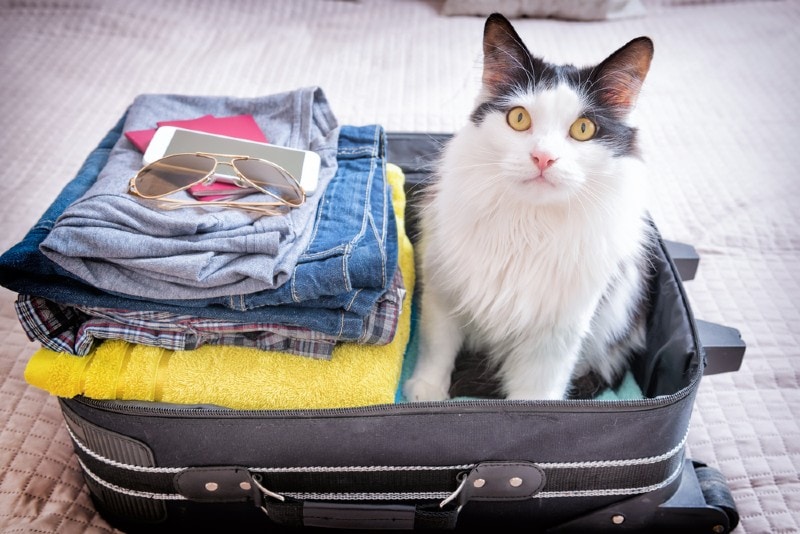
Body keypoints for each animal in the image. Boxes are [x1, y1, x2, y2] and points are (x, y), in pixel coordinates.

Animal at [406, 13, 656, 402]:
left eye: (583, 129)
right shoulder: (442, 291)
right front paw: (427, 393)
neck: (528, 224)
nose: (543, 157)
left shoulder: (557, 334)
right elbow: (437, 348)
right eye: (519, 119)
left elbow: (533, 396)